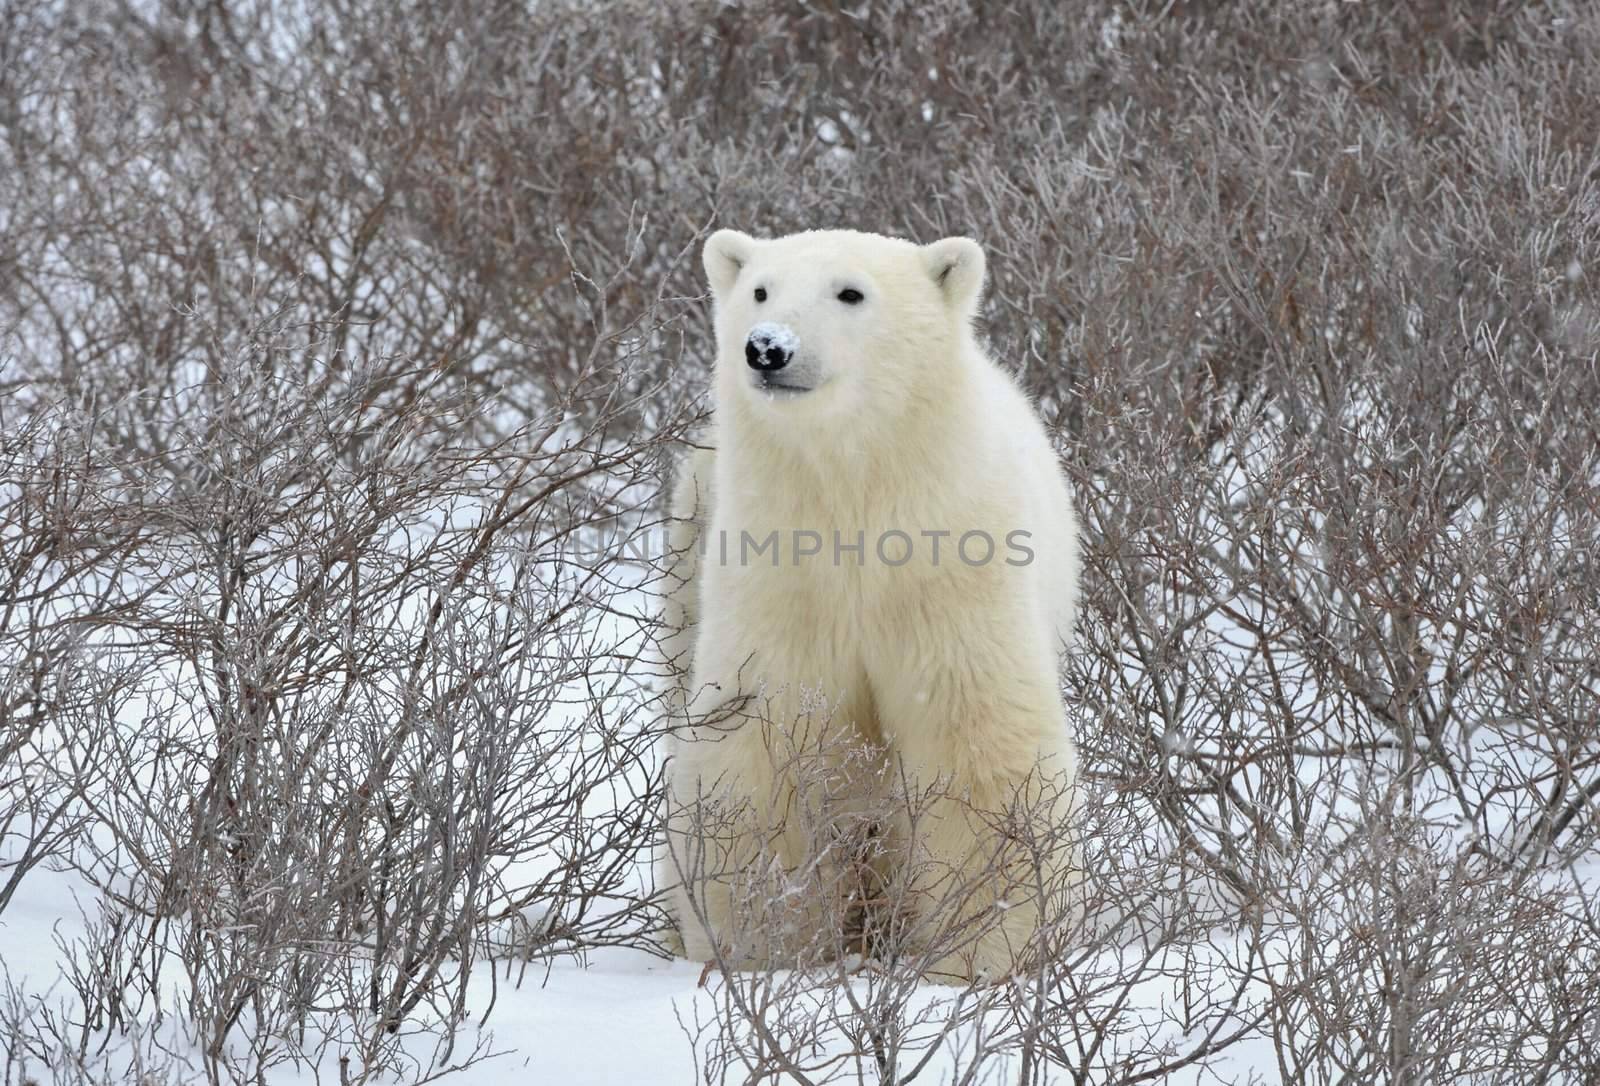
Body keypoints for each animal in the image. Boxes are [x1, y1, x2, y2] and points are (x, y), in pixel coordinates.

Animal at [656, 228, 1081, 985]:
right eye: (760, 290)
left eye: (850, 292)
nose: (767, 347)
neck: (856, 490)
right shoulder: (777, 567)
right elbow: (761, 740)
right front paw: (762, 948)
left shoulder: (950, 561)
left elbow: (976, 738)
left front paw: (987, 950)